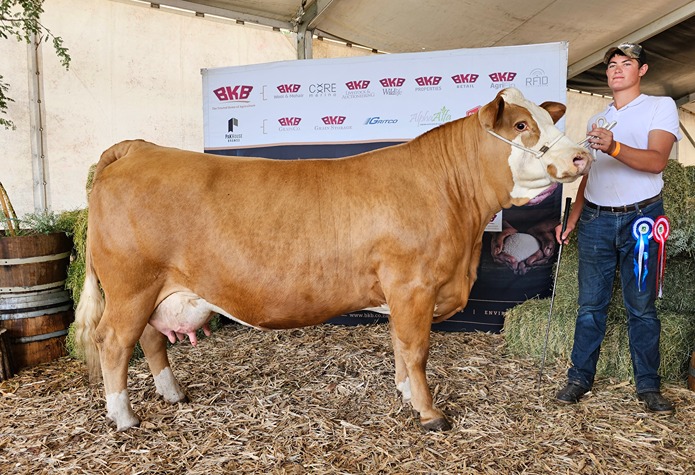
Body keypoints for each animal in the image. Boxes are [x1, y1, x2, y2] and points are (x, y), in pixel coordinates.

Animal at [72, 86, 592, 432]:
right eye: (522, 126)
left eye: (550, 122)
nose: (581, 157)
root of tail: (139, 148)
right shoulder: (413, 285)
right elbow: (417, 349)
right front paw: (430, 414)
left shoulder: (401, 293)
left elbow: (400, 347)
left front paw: (405, 394)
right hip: (132, 285)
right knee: (114, 342)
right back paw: (124, 417)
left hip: (157, 289)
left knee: (150, 339)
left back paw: (174, 393)